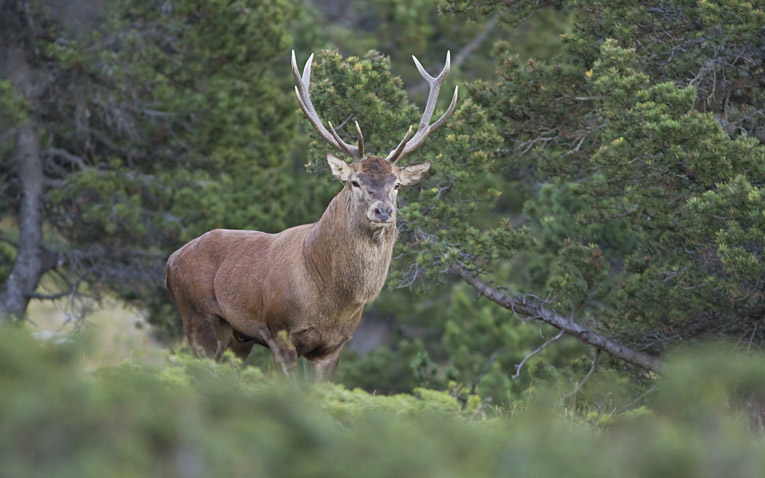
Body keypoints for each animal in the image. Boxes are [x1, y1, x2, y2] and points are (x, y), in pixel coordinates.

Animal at [165, 51, 456, 380]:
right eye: (355, 182)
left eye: (396, 185)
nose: (383, 210)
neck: (329, 298)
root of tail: (171, 260)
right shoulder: (279, 333)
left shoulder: (333, 346)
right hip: (196, 317)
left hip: (237, 336)